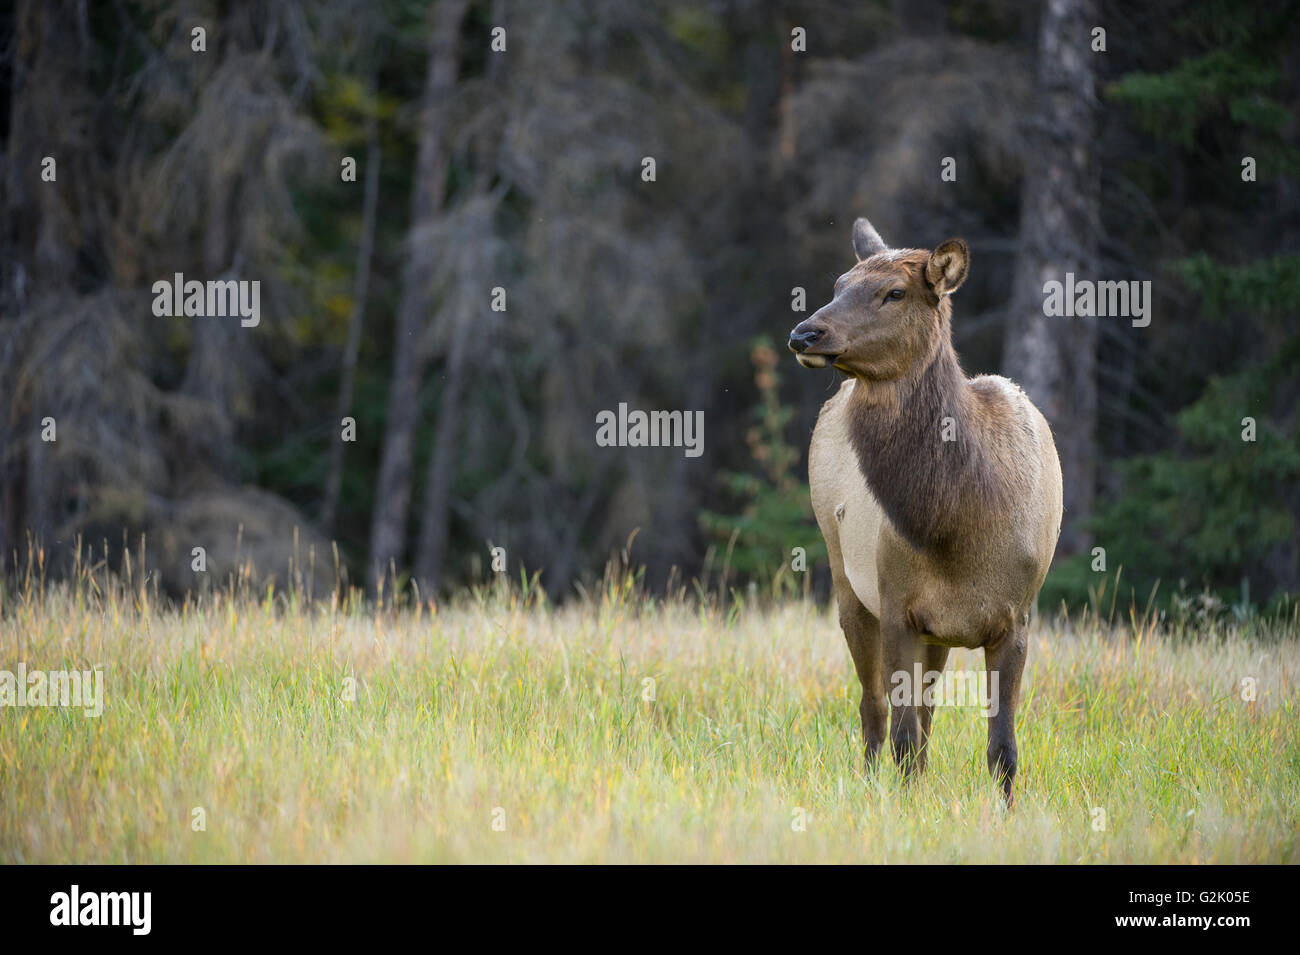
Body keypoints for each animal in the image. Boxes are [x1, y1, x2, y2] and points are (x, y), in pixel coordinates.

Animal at [785, 218, 1060, 805]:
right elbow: (903, 737)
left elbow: (1002, 747)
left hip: (938, 635)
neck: (959, 529)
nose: (805, 334)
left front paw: (1004, 812)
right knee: (874, 710)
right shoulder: (897, 608)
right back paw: (870, 785)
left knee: (925, 714)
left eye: (895, 292)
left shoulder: (1016, 617)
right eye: (839, 283)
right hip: (847, 580)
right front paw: (907, 806)